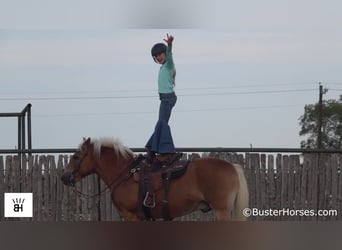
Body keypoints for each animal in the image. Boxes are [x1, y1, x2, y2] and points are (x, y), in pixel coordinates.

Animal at [61, 137, 248, 221]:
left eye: (76, 156)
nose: (64, 177)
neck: (125, 173)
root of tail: (232, 166)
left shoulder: (131, 216)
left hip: (222, 211)